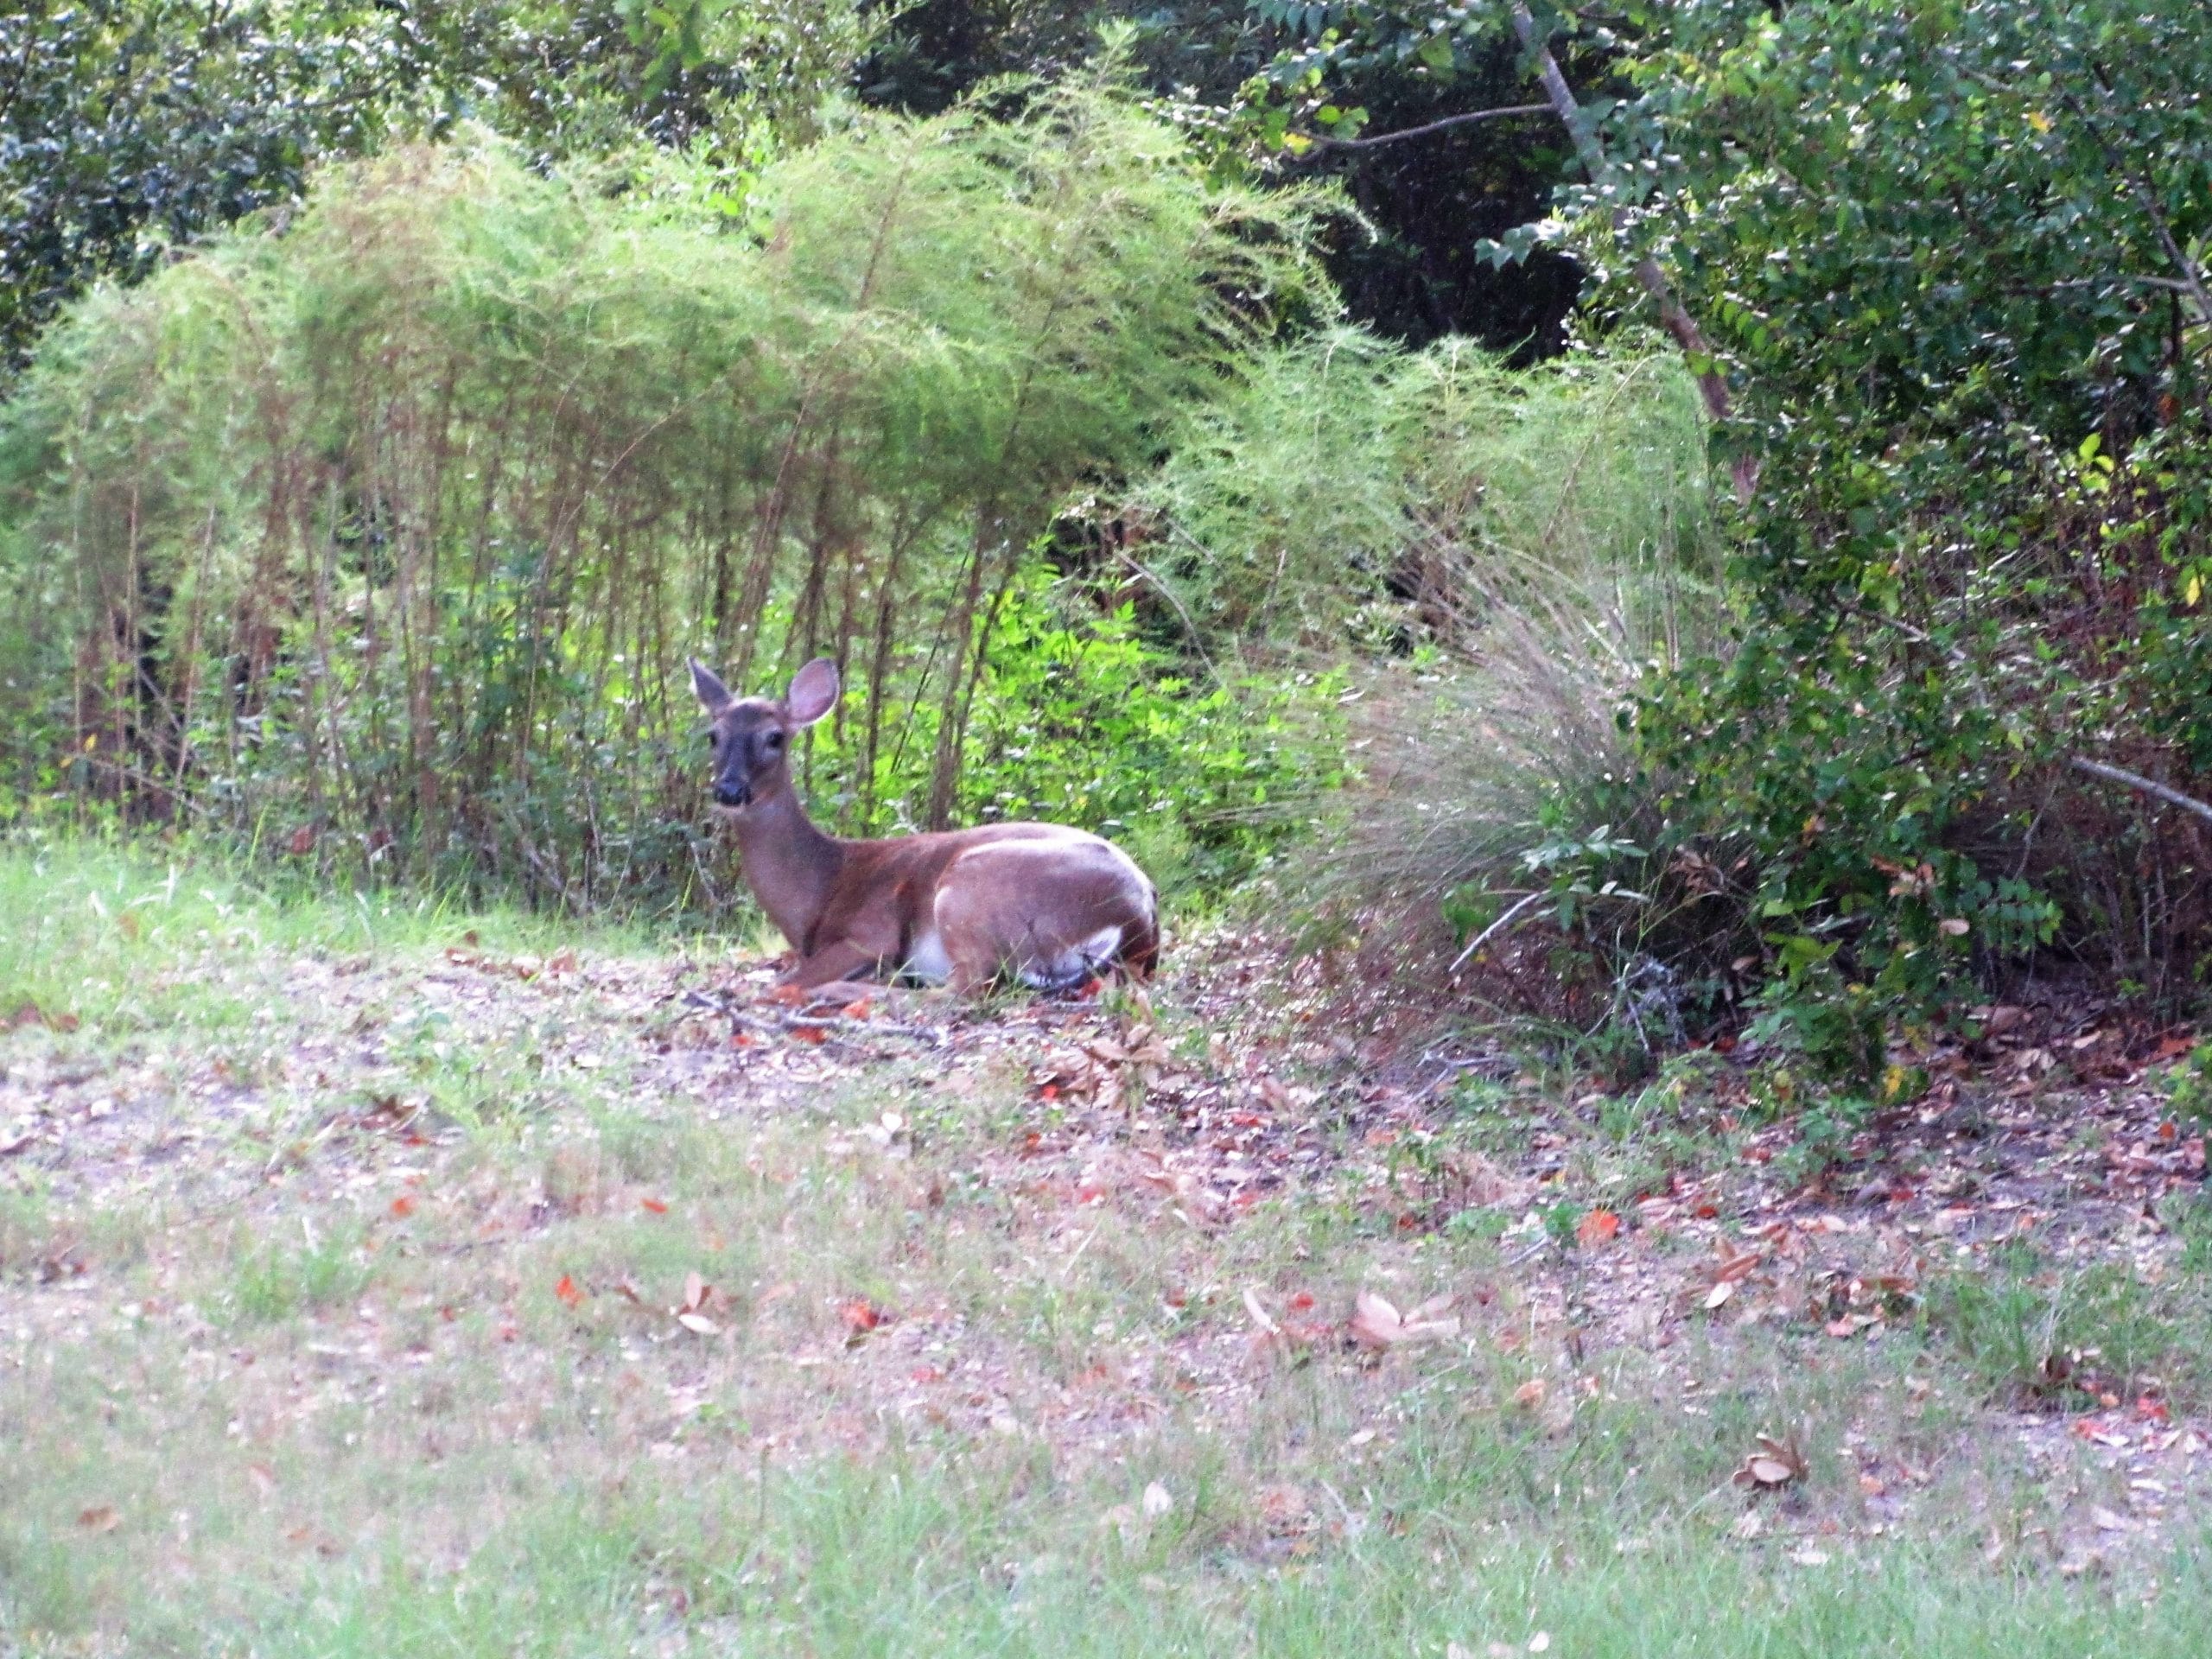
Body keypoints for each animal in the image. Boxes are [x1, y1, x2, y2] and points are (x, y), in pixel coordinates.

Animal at [694, 654, 1167, 1000]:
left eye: (775, 737)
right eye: (713, 736)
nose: (730, 790)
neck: (823, 885)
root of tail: (1139, 914)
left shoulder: (871, 933)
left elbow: (782, 982)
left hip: (971, 890)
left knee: (963, 989)